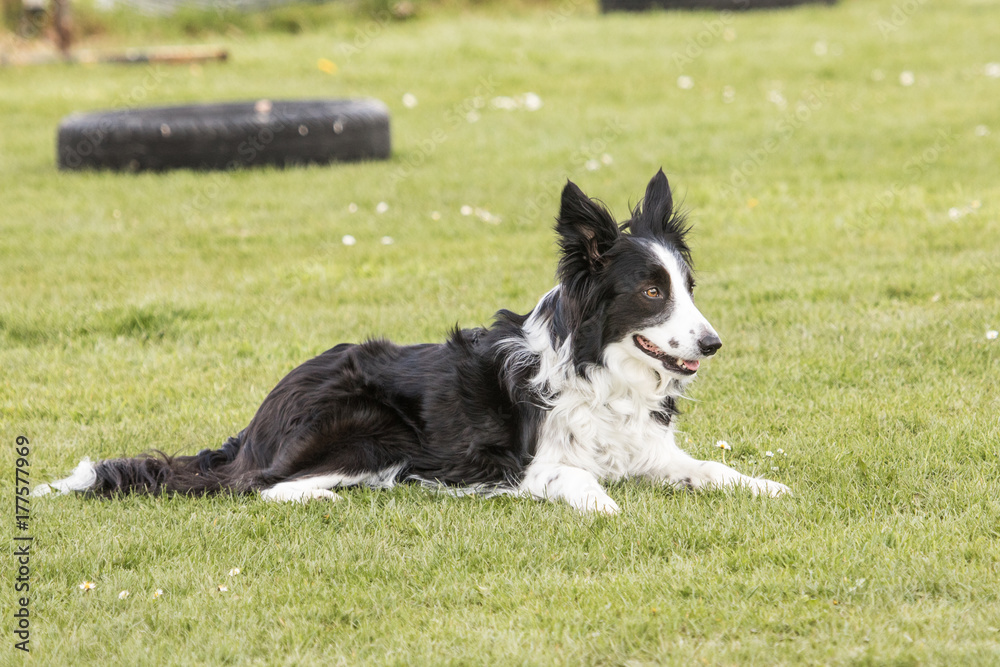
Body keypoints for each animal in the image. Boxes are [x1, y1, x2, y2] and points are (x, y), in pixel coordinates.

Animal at [37, 171, 788, 512]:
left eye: (687, 285)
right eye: (652, 292)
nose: (713, 343)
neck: (599, 370)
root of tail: (257, 421)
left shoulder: (650, 449)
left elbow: (711, 468)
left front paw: (763, 483)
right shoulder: (516, 464)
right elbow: (575, 476)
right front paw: (604, 503)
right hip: (368, 424)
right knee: (261, 487)